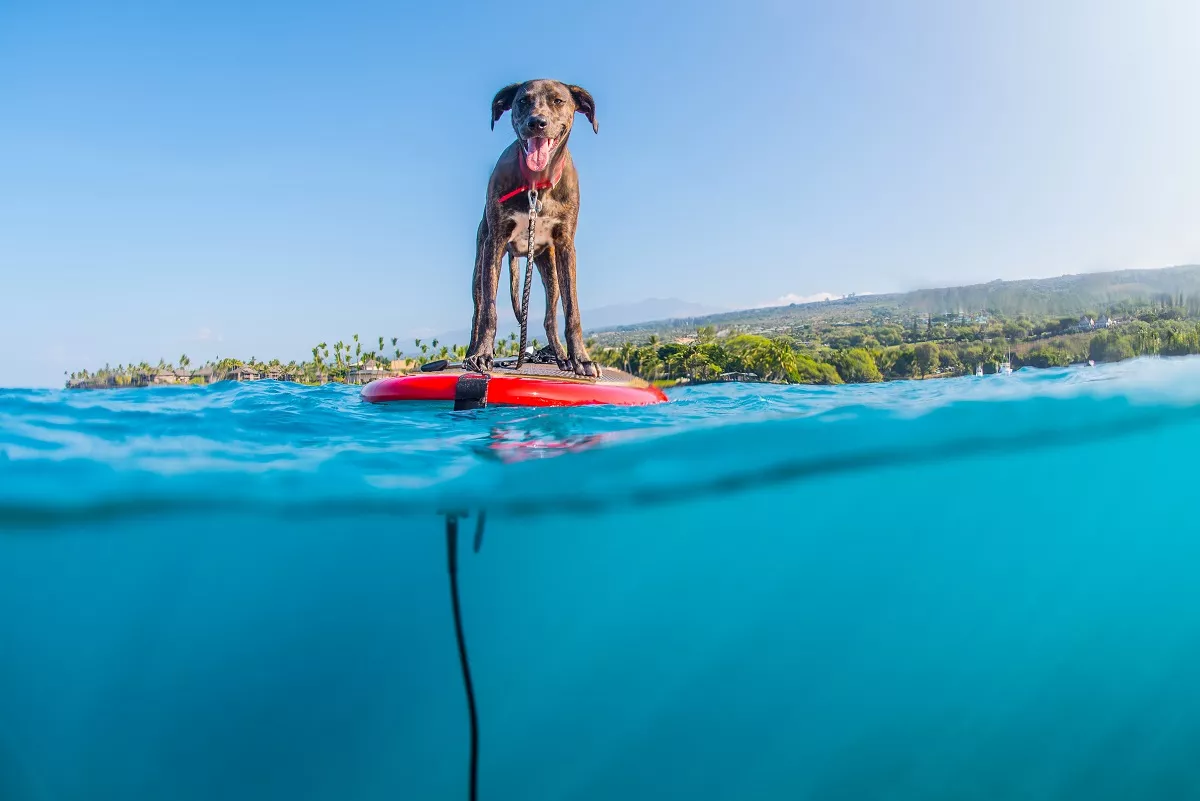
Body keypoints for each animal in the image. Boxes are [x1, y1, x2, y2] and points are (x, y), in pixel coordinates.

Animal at [465, 79, 604, 378]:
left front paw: (581, 359)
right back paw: (472, 351)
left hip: (549, 268)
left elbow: (572, 310)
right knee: (478, 311)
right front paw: (482, 354)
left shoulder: (565, 245)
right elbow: (489, 311)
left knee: (550, 317)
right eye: (522, 101)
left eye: (558, 101)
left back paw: (562, 357)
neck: (536, 185)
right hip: (479, 265)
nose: (537, 123)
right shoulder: (494, 244)